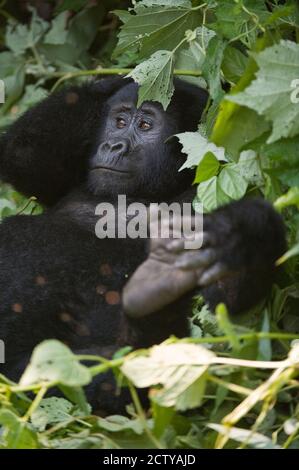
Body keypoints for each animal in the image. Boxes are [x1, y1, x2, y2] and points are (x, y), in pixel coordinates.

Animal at [0, 76, 288, 412]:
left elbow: (225, 307)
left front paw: (242, 235)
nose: (114, 145)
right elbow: (25, 156)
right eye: (120, 122)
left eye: (146, 125)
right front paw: (112, 82)